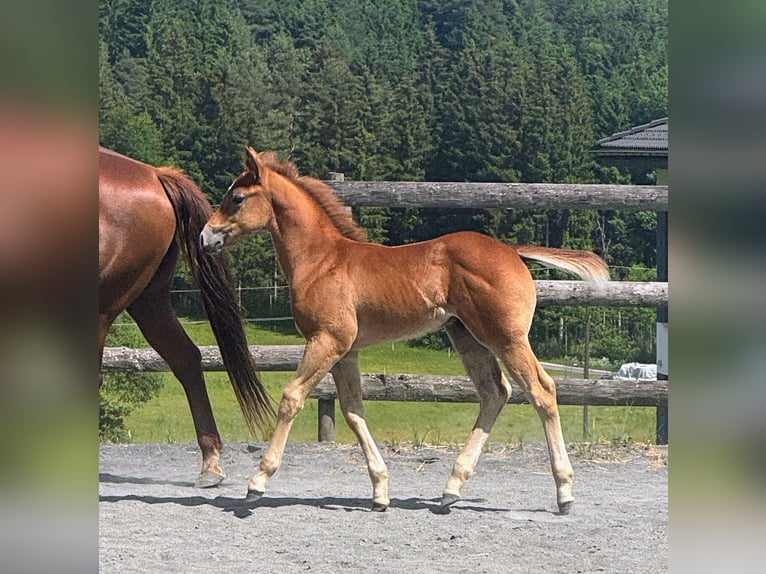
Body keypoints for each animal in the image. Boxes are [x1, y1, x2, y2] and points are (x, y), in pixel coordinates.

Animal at [200, 147, 610, 514]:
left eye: (236, 197)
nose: (206, 237)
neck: (321, 260)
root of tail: (512, 251)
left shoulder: (327, 339)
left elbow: (291, 397)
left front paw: (257, 482)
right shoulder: (347, 349)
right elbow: (353, 409)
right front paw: (380, 491)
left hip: (506, 338)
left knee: (542, 391)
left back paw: (564, 493)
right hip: (465, 335)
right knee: (495, 393)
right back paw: (451, 489)